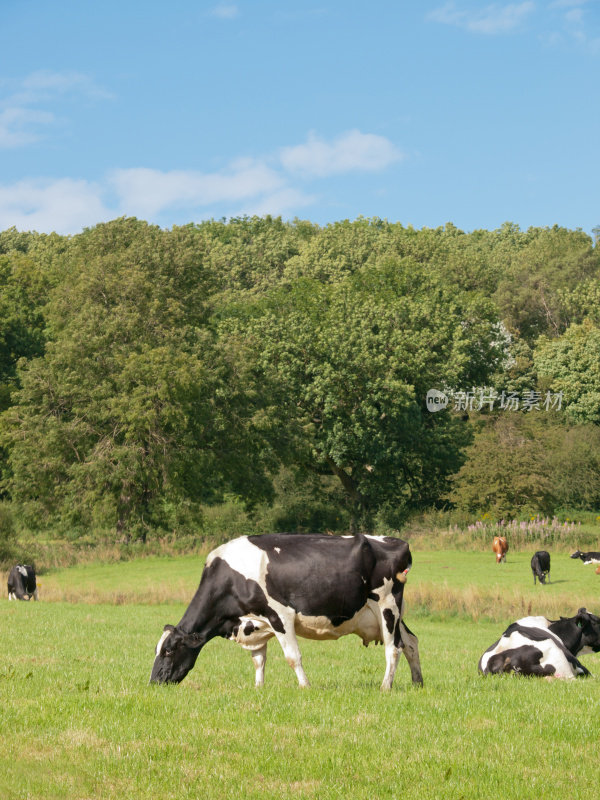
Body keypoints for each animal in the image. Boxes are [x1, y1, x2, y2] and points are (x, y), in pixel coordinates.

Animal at [149, 532, 422, 688]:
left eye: (169, 650)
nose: (154, 682)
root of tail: (399, 543)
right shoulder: (254, 623)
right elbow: (258, 660)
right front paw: (258, 688)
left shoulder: (280, 615)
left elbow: (293, 657)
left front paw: (305, 686)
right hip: (392, 614)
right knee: (411, 642)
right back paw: (417, 682)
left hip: (387, 606)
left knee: (393, 648)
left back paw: (385, 687)